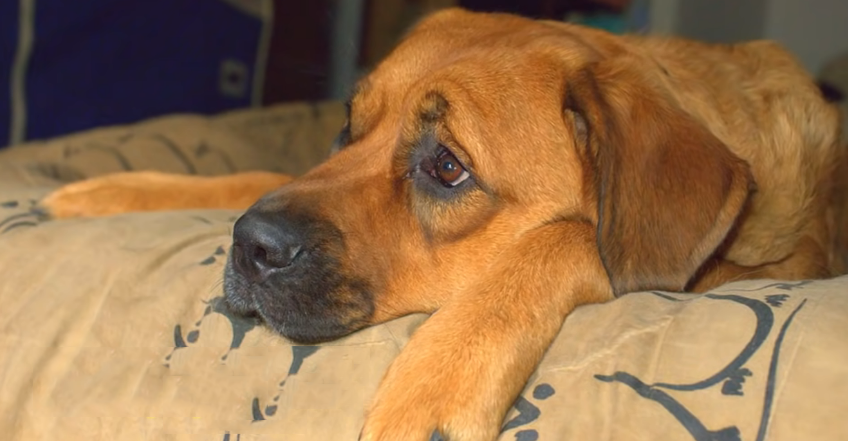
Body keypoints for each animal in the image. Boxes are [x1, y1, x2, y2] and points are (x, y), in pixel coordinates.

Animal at [38, 6, 840, 440]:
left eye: (448, 167)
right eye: (348, 125)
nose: (248, 246)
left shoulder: (752, 269)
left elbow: (569, 236)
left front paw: (437, 381)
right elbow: (264, 173)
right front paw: (110, 190)